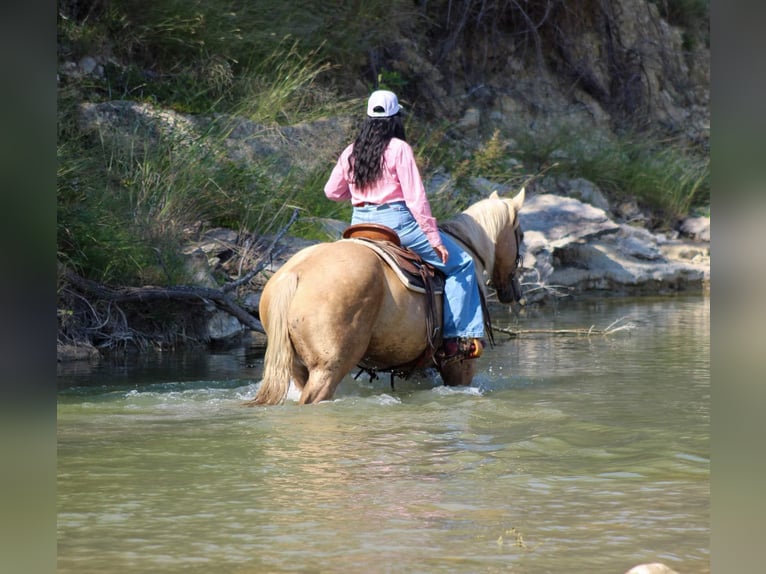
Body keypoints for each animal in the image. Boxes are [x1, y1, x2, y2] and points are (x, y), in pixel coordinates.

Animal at [245, 188, 525, 405]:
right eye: (520, 235)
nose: (515, 293)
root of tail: (296, 273)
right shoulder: (459, 363)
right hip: (328, 368)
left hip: (297, 367)